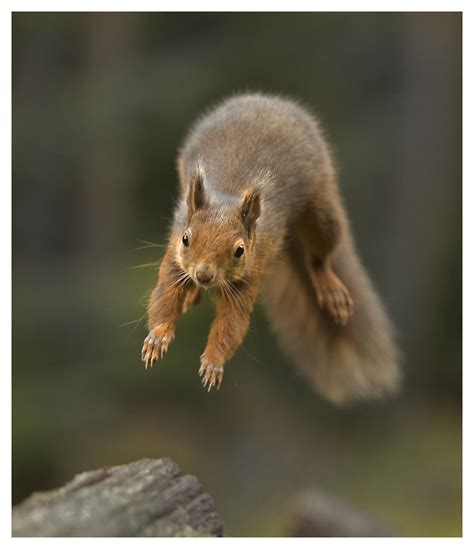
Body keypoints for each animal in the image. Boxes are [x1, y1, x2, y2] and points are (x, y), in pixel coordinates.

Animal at [141, 94, 400, 402]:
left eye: (239, 250)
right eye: (186, 239)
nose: (204, 275)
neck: (227, 196)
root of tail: (267, 100)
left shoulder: (250, 275)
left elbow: (232, 323)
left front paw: (213, 362)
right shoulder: (174, 258)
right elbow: (164, 297)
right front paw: (158, 337)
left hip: (322, 214)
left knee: (319, 256)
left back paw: (329, 286)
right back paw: (192, 293)